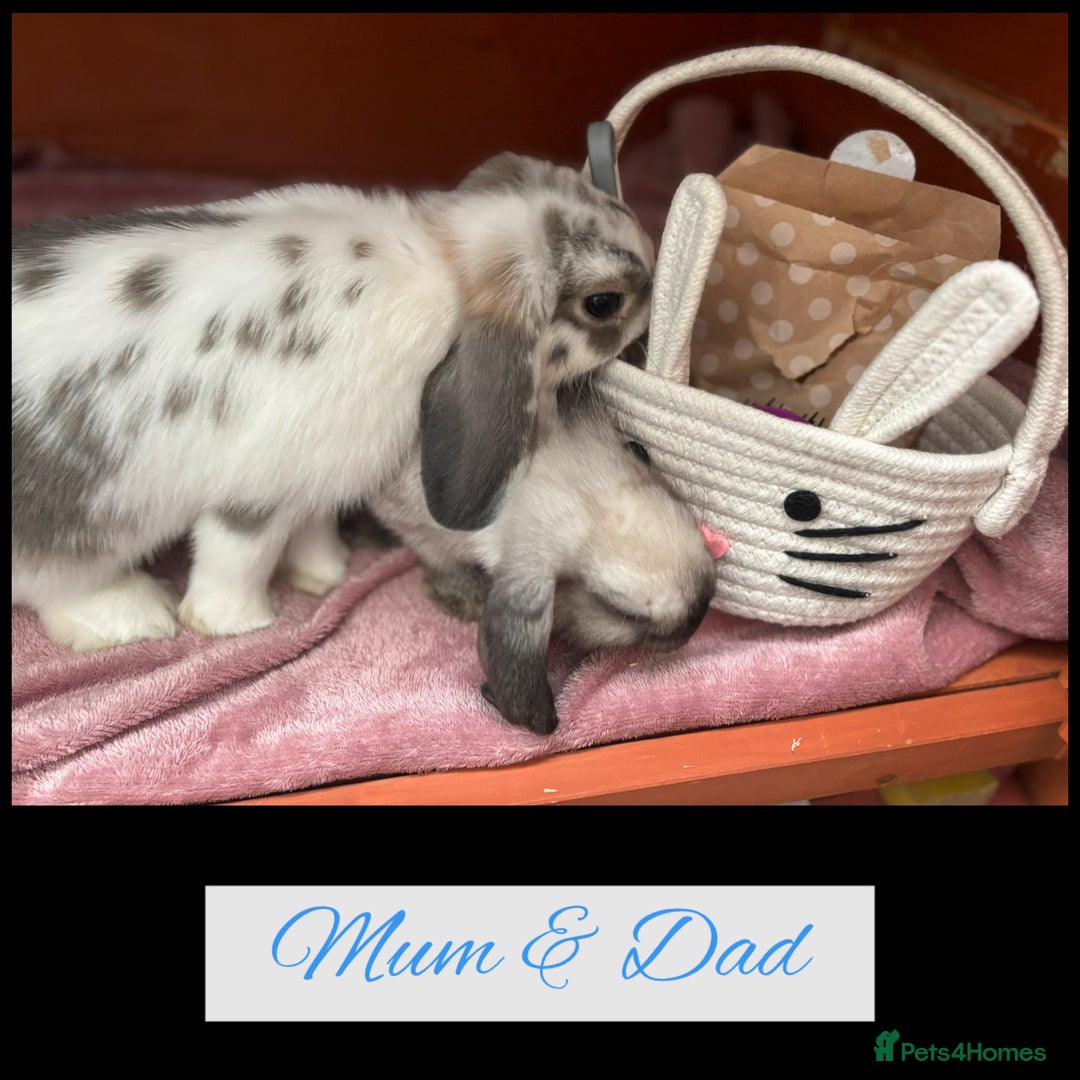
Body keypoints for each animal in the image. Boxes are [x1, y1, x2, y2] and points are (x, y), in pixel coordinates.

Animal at [11, 152, 655, 651]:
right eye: (603, 303)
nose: (652, 295)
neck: (441, 261)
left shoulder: (316, 477)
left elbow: (310, 527)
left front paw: (326, 574)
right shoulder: (257, 492)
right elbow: (235, 557)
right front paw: (239, 625)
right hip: (82, 534)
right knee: (61, 588)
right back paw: (135, 616)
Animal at [363, 377, 719, 734]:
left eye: (641, 450)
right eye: (620, 613)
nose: (700, 617)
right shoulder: (412, 528)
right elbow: (439, 558)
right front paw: (465, 597)